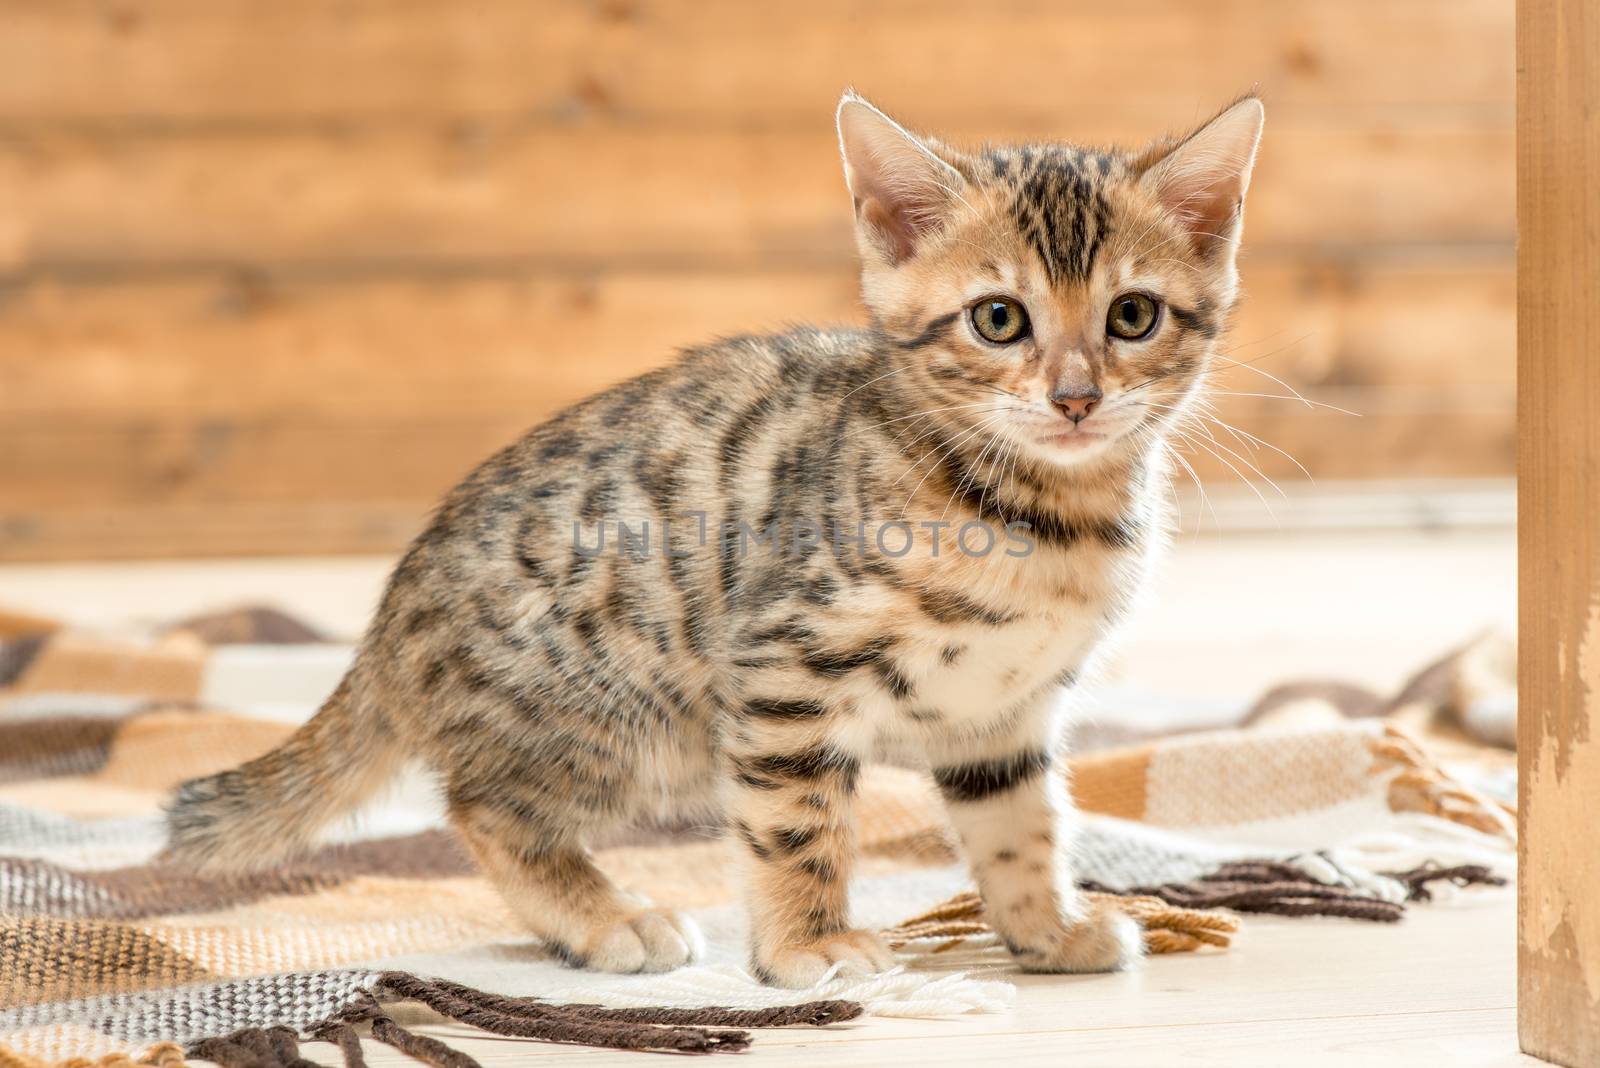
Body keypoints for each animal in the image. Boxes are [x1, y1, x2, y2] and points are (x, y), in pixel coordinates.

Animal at [162, 91, 1260, 984]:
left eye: (1131, 316)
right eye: (998, 319)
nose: (1076, 397)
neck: (1046, 515)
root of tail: (392, 616)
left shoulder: (1003, 714)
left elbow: (1020, 830)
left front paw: (1046, 932)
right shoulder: (788, 668)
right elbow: (797, 825)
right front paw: (809, 945)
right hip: (626, 718)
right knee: (483, 805)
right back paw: (606, 919)